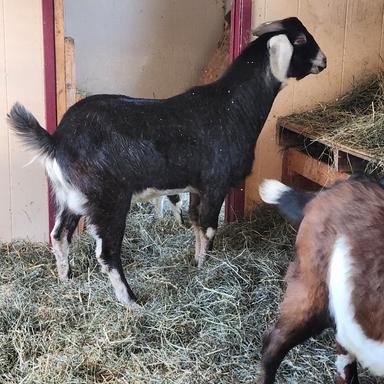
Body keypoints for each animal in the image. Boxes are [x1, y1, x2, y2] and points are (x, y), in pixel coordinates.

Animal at [9, 17, 326, 306]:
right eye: (300, 40)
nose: (323, 60)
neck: (233, 106)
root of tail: (57, 140)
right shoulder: (216, 182)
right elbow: (209, 227)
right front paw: (205, 267)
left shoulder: (197, 187)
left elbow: (196, 223)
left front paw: (197, 264)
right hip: (107, 199)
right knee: (107, 253)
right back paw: (131, 301)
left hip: (70, 197)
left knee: (59, 235)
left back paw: (66, 279)